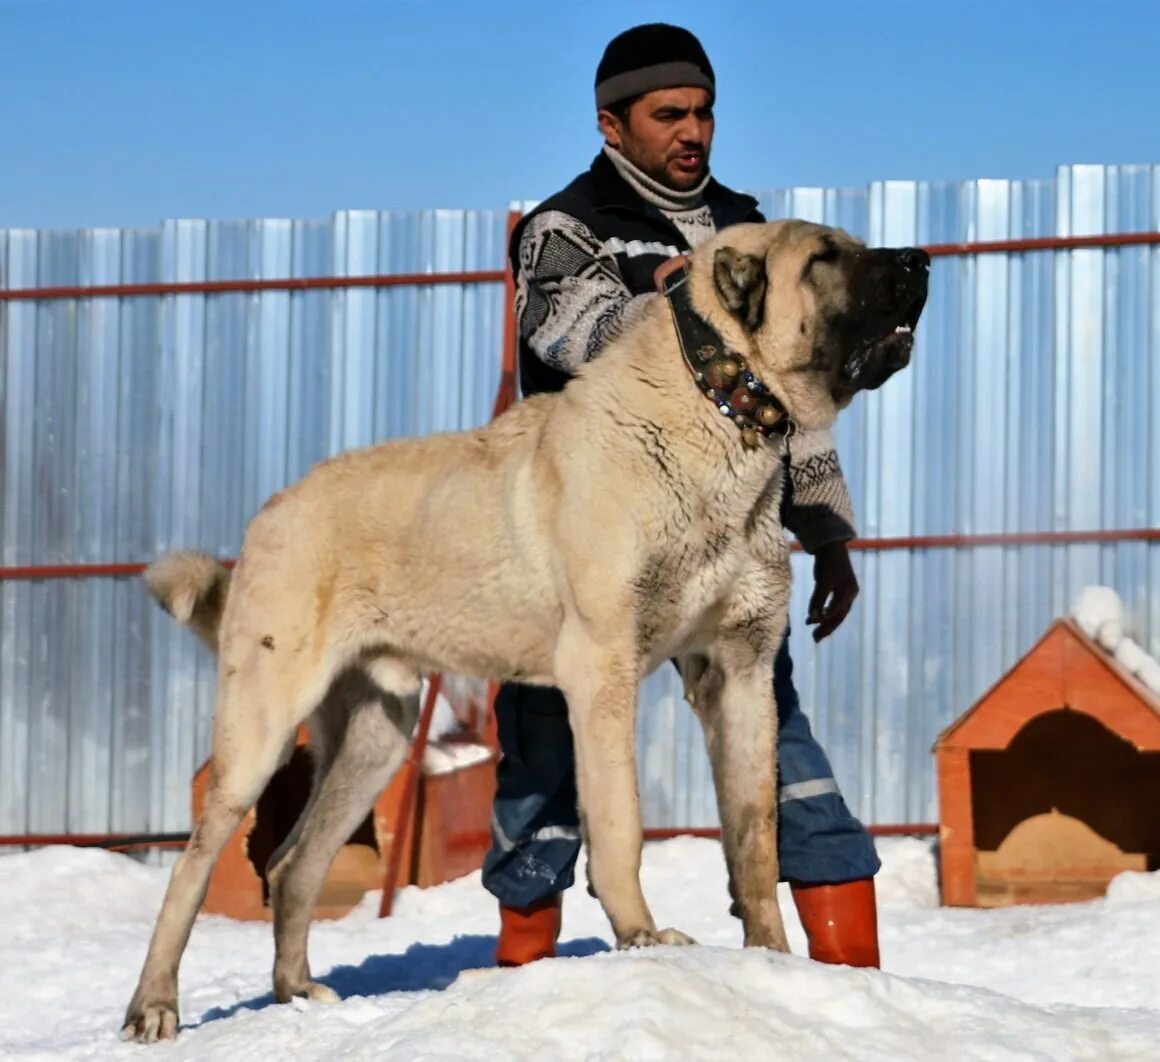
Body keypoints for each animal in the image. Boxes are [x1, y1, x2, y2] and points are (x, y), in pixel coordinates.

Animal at [122, 220, 928, 1043]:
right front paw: (643, 938)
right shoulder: (602, 672)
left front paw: (771, 960)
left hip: (379, 735)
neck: (718, 406)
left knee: (293, 863)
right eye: (825, 257)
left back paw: (295, 993)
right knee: (193, 864)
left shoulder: (741, 672)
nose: (920, 259)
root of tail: (271, 511)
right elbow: (621, 825)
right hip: (261, 728)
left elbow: (755, 834)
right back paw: (154, 1006)